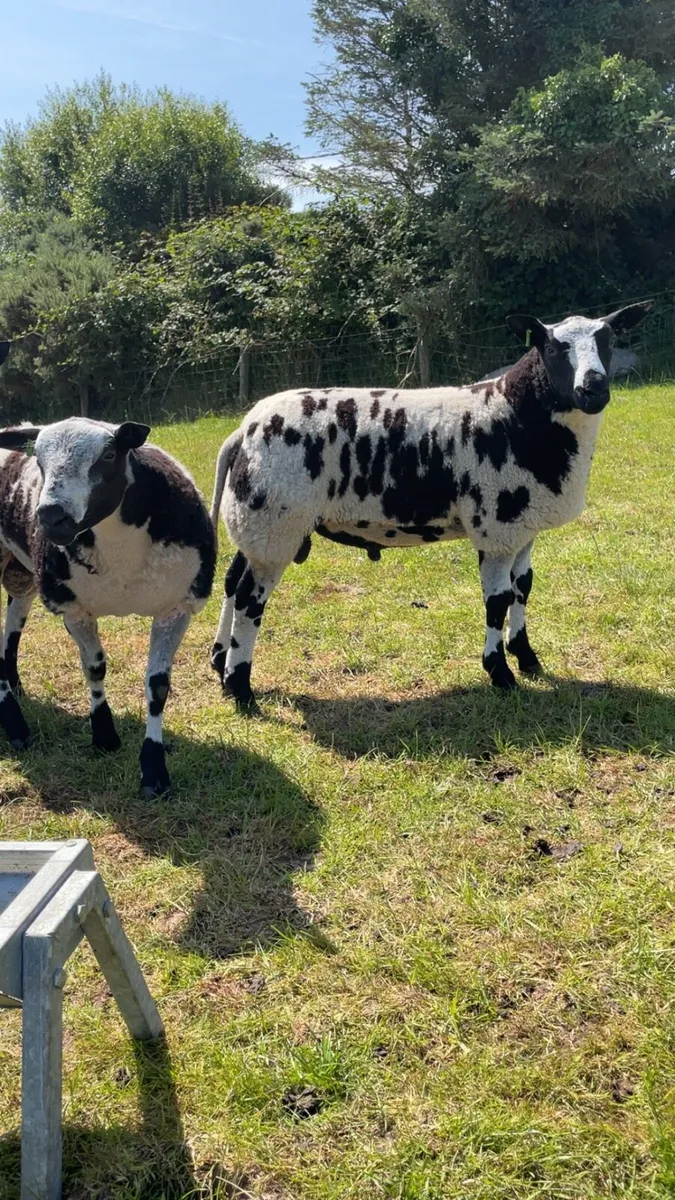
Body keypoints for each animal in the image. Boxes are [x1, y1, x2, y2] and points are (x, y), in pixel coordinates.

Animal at [0, 417, 215, 796]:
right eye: (37, 458)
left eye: (109, 455)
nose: (51, 517)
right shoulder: (74, 608)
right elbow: (95, 669)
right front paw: (104, 735)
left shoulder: (176, 607)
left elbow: (158, 687)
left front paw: (154, 771)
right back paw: (16, 728)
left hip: (21, 570)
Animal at [209, 303, 652, 707]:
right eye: (553, 348)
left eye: (609, 340)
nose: (593, 390)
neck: (513, 414)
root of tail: (241, 433)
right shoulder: (496, 527)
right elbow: (497, 601)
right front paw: (500, 673)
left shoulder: (523, 528)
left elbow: (523, 588)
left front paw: (526, 657)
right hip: (274, 522)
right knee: (249, 599)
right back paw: (240, 688)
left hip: (255, 523)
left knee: (231, 583)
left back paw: (219, 662)